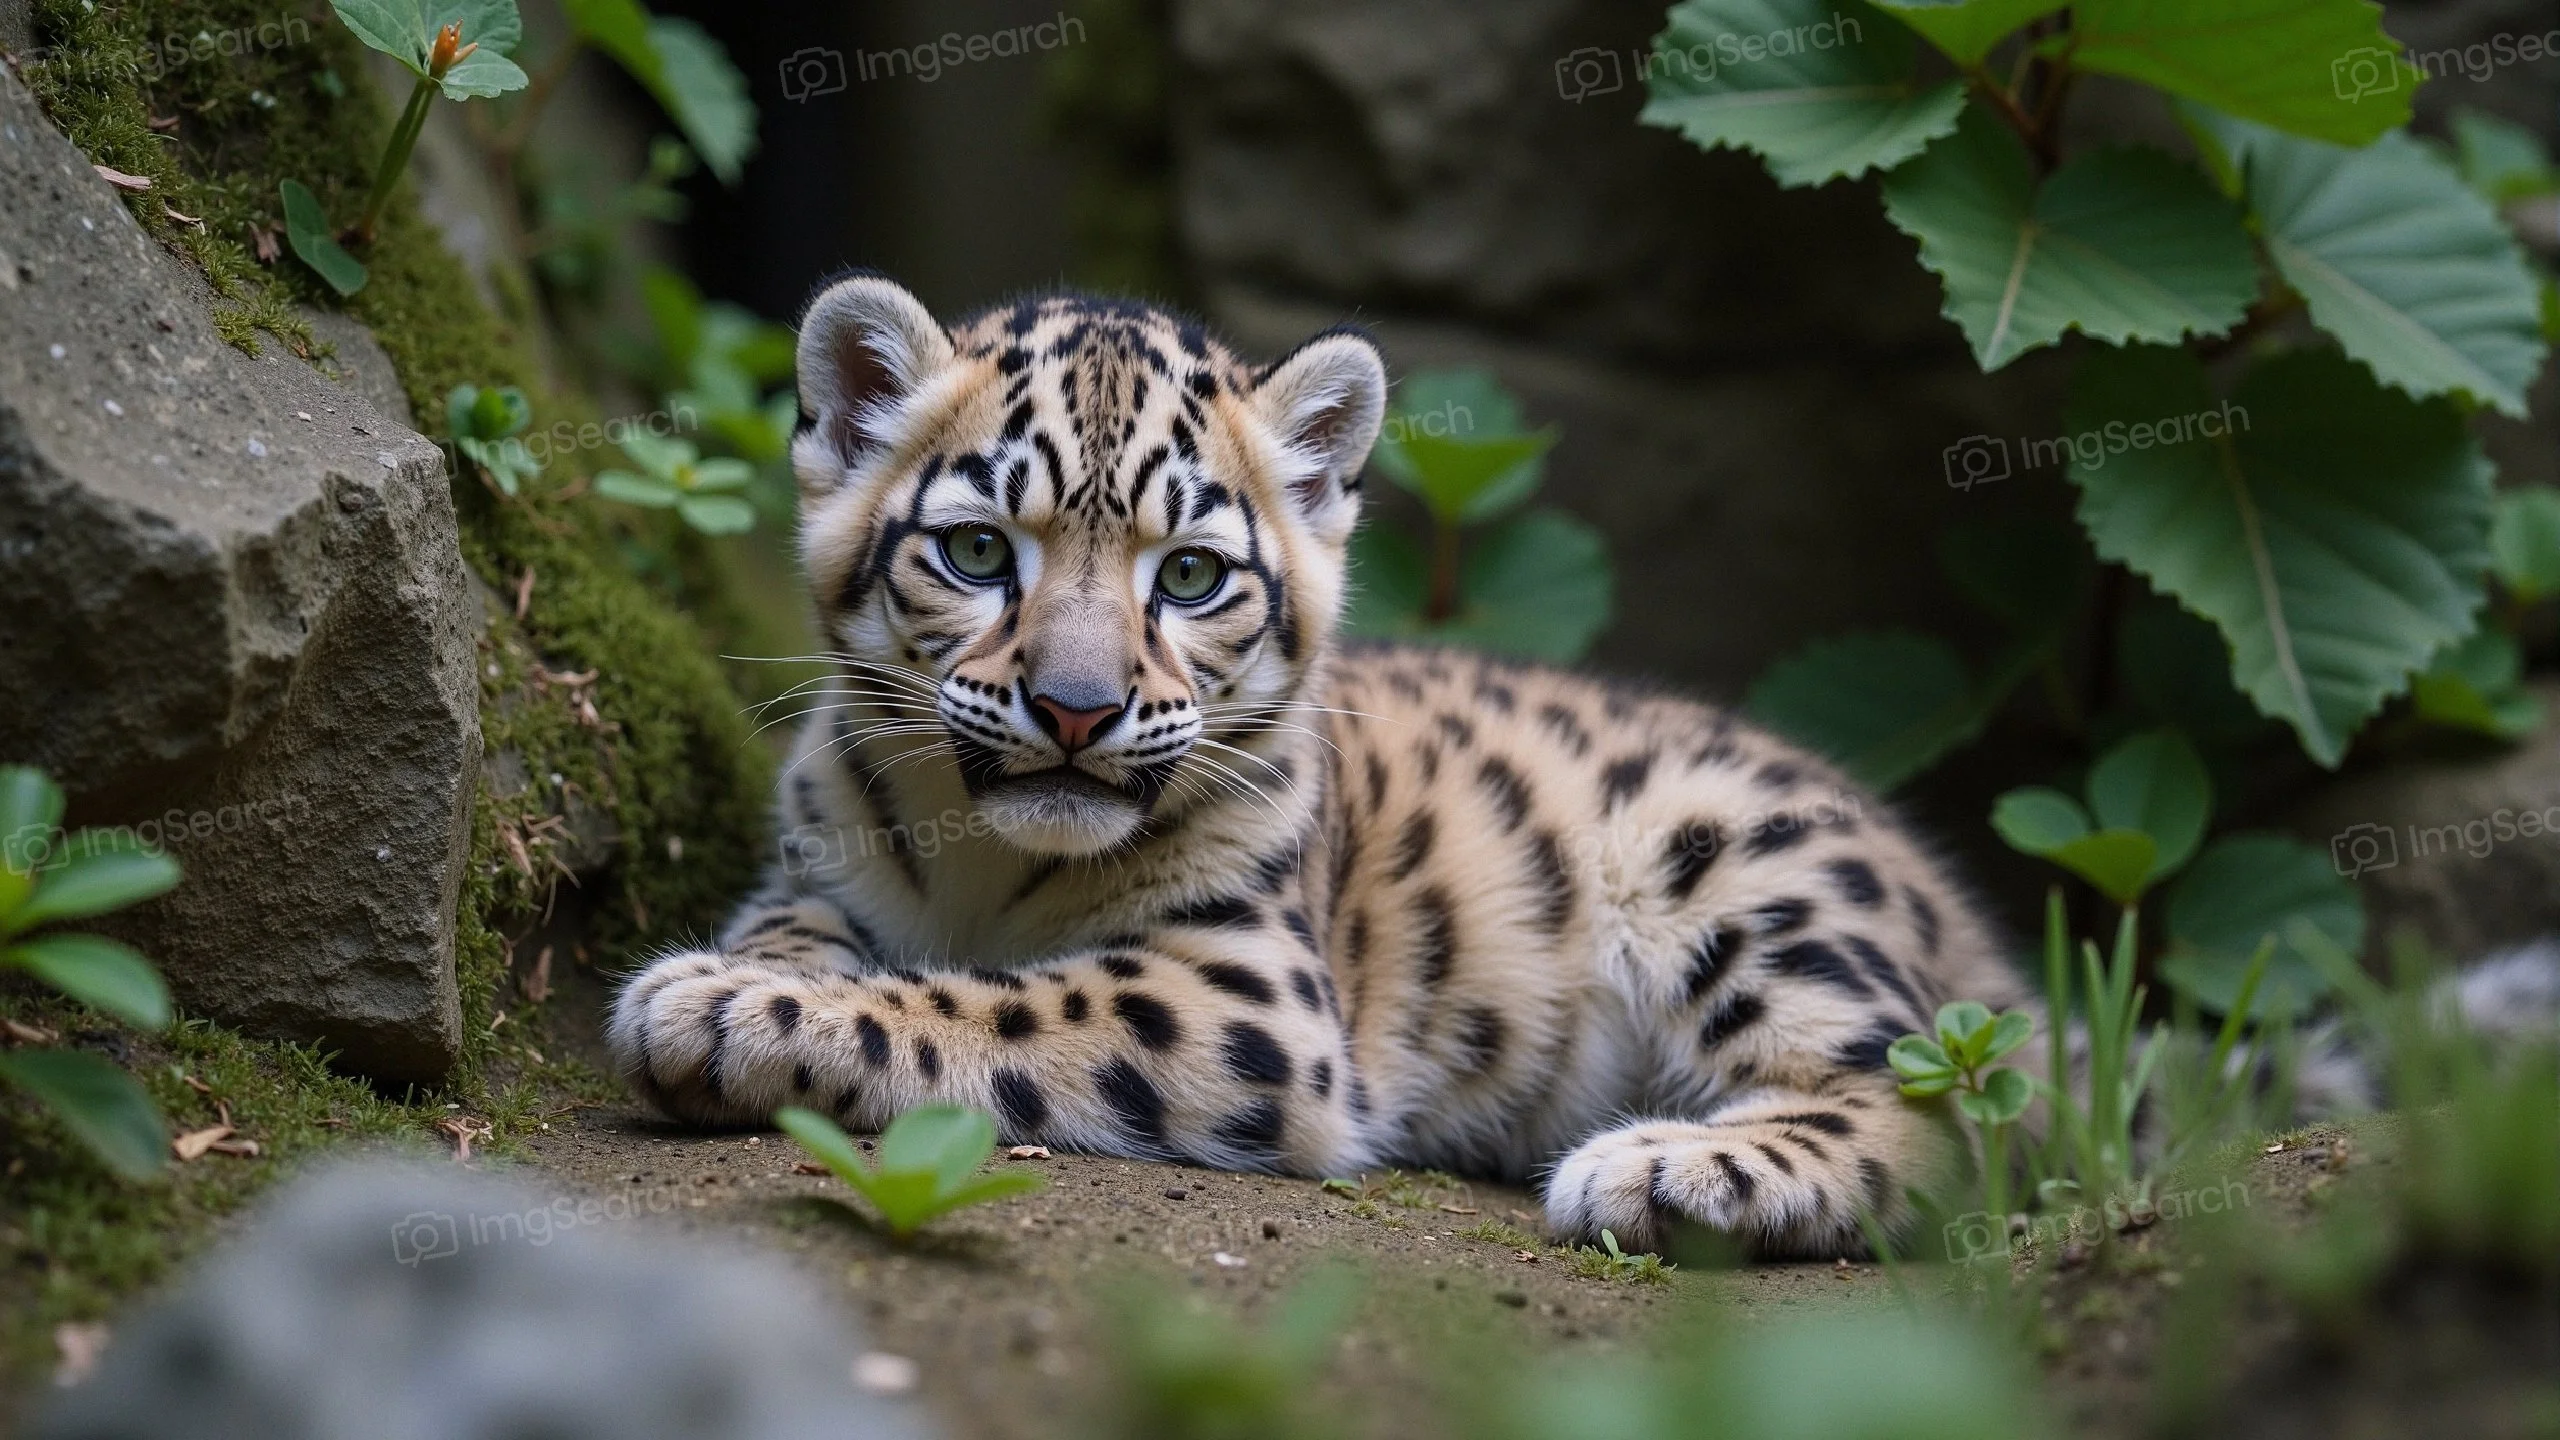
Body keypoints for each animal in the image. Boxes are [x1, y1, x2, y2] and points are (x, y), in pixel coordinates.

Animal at [605, 274, 2038, 1259]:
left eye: (1190, 574)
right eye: (974, 551)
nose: (1074, 710)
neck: (984, 866)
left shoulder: (1242, 987)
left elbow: (993, 1003)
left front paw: (717, 1012)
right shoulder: (812, 867)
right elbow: (808, 933)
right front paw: (752, 980)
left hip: (1752, 883)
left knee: (1951, 1114)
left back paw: (1655, 1173)